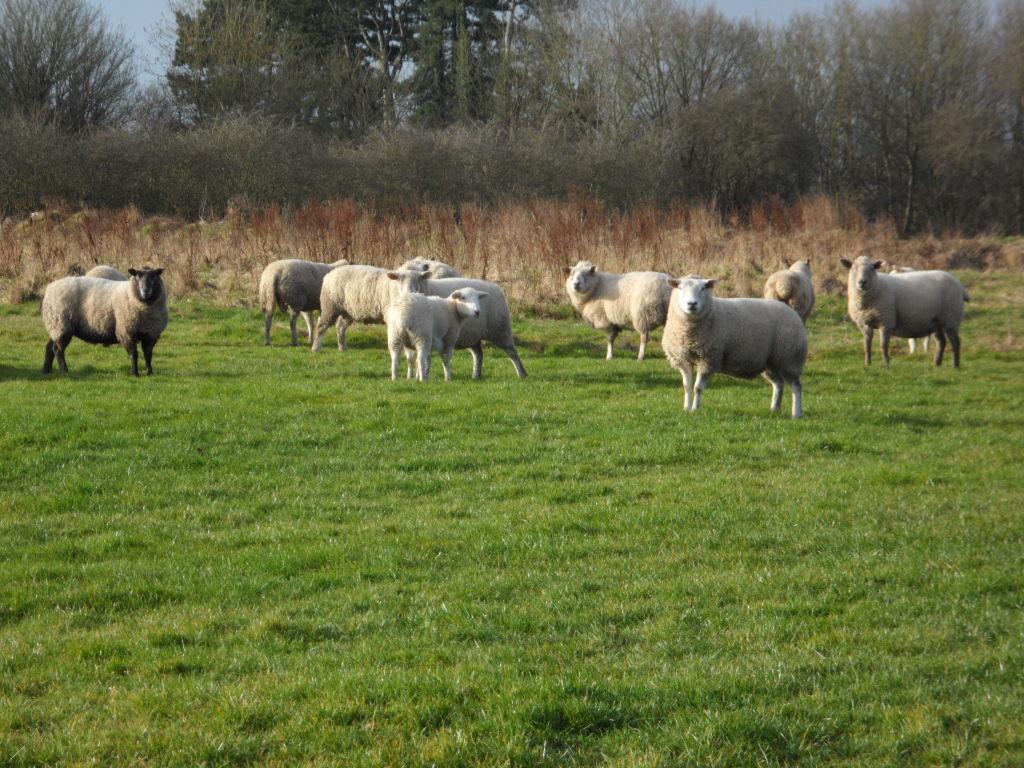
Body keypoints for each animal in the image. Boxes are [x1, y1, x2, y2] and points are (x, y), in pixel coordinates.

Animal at [663, 276, 806, 421]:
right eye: (680, 288)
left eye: (703, 288)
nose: (692, 304)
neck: (689, 334)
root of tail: (792, 312)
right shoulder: (682, 359)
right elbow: (687, 386)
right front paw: (686, 409)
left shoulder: (708, 359)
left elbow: (697, 388)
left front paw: (695, 410)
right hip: (770, 362)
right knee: (778, 384)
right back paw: (775, 409)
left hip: (790, 358)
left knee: (796, 386)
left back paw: (796, 413)